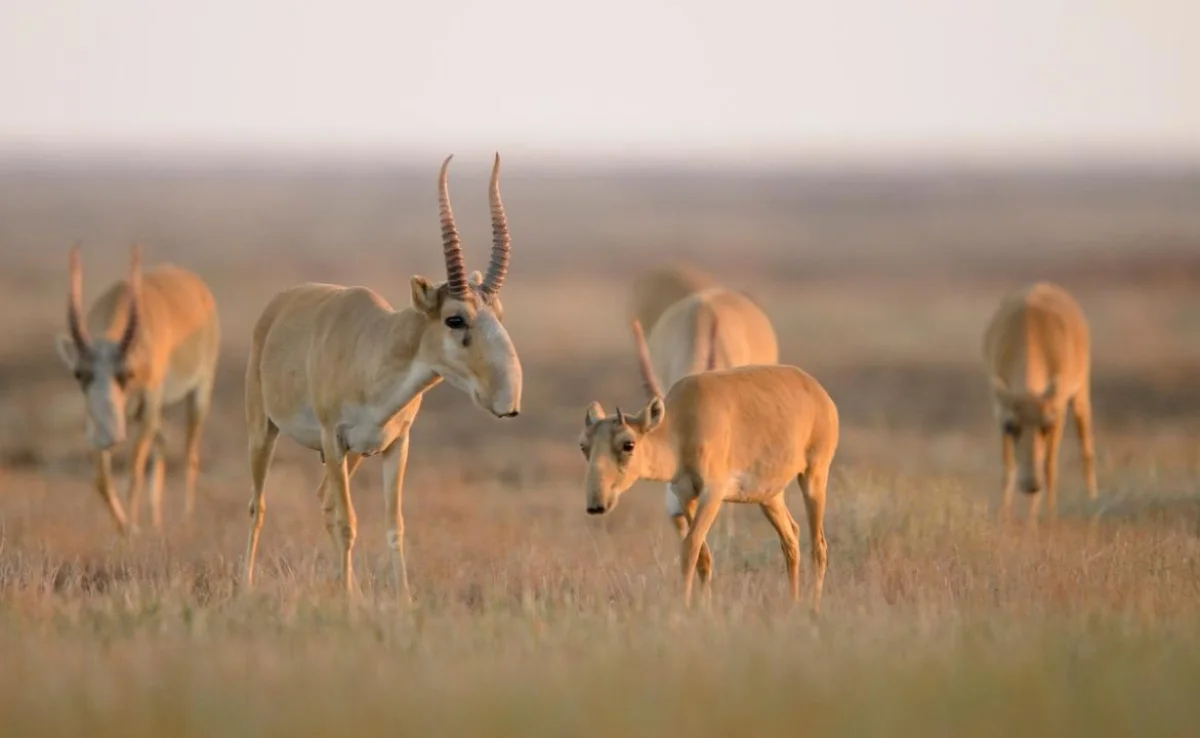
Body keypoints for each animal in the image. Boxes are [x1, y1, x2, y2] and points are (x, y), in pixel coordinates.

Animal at [54, 246, 224, 535]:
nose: (109, 436)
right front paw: (126, 529)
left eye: (128, 374)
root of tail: (196, 287)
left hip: (199, 392)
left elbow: (134, 471)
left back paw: (186, 521)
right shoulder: (94, 419)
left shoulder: (149, 407)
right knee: (164, 441)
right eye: (79, 374)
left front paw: (133, 529)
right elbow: (102, 479)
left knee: (190, 455)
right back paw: (157, 522)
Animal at [242, 153, 520, 597]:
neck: (374, 349)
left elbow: (394, 527)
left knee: (323, 499)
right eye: (454, 318)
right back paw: (246, 586)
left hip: (353, 455)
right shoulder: (333, 439)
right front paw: (350, 602)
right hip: (264, 431)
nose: (508, 401)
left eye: (499, 313)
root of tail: (279, 305)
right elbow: (348, 522)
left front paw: (400, 600)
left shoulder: (395, 446)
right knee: (258, 504)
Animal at [576, 316, 840, 612]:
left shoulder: (712, 494)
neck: (681, 425)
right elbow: (702, 556)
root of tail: (818, 392)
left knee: (818, 546)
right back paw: (792, 602)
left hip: (814, 476)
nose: (597, 505)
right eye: (583, 445)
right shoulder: (685, 495)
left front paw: (685, 606)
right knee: (791, 538)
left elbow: (690, 547)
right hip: (769, 496)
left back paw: (813, 605)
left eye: (628, 444)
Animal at [984, 279, 1099, 523]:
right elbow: (1008, 467)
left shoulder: (1058, 410)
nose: (1031, 485)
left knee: (1086, 447)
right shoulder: (1000, 411)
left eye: (1047, 425)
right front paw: (1005, 516)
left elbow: (1049, 466)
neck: (1030, 331)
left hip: (1081, 393)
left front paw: (1048, 516)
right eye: (1010, 426)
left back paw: (1092, 499)